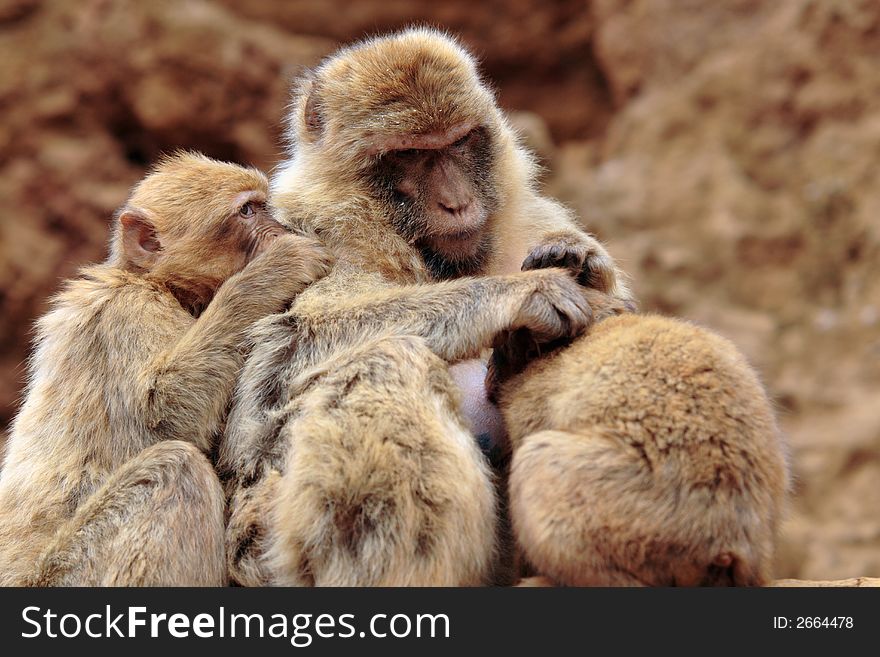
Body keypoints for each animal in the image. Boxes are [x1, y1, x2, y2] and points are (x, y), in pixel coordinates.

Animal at [0, 150, 332, 584]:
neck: (162, 286)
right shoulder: (127, 311)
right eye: (247, 211)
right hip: (68, 573)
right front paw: (274, 271)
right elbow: (162, 416)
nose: (279, 229)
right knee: (177, 467)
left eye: (263, 207)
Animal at [220, 28, 636, 588]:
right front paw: (520, 295)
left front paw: (579, 261)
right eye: (413, 154)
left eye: (460, 142)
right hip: (264, 545)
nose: (457, 202)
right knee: (387, 362)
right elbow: (274, 375)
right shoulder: (298, 246)